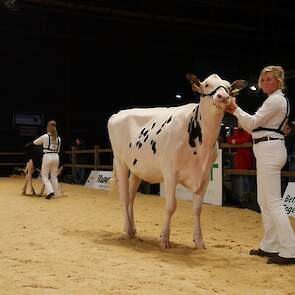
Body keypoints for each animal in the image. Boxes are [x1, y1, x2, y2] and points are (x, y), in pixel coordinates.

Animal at [108, 73, 247, 249]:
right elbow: (171, 206)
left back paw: (132, 230)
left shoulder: (204, 176)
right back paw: (127, 232)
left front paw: (199, 241)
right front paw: (164, 239)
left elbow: (197, 209)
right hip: (121, 162)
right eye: (206, 84)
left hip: (136, 168)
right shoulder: (170, 173)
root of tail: (118, 114)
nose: (223, 96)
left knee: (131, 198)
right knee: (124, 197)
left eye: (228, 87)